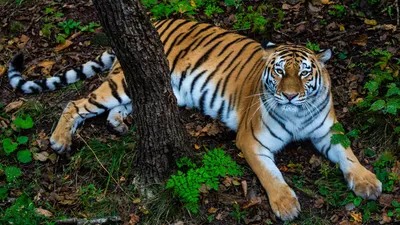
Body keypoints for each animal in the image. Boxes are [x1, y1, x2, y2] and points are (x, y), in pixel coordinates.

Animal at [6, 18, 382, 221]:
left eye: (304, 73)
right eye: (278, 71)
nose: (289, 95)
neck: (298, 113)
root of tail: (158, 22)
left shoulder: (329, 130)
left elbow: (349, 155)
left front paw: (368, 182)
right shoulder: (251, 140)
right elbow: (271, 176)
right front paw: (286, 204)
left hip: (154, 89)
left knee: (124, 108)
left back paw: (119, 124)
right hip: (125, 82)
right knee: (77, 102)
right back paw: (59, 140)